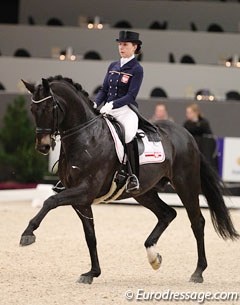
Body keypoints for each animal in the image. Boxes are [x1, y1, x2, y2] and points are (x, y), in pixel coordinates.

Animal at [21, 75, 238, 284]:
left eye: (48, 108)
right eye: (32, 109)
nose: (43, 146)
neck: (85, 137)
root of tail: (188, 136)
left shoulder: (85, 190)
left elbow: (50, 201)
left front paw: (27, 234)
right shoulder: (81, 199)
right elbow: (90, 235)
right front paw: (92, 273)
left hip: (186, 184)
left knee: (197, 222)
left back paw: (198, 272)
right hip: (144, 192)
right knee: (167, 214)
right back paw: (154, 257)